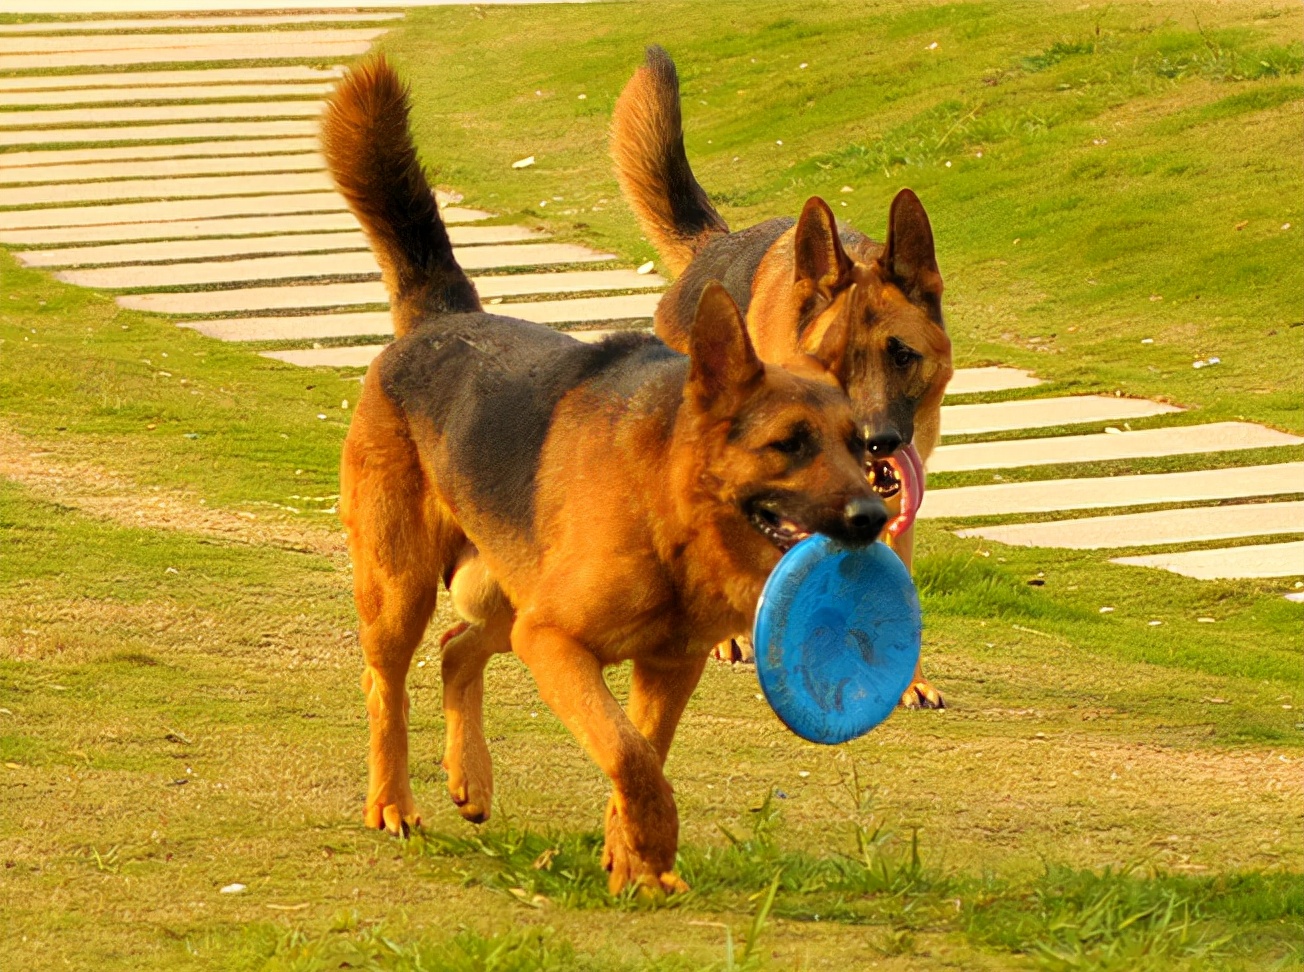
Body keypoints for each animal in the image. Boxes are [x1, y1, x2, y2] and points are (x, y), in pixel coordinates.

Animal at [319, 56, 886, 892]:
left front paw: (635, 862)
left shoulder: (666, 667)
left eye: (857, 446)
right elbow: (629, 754)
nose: (873, 520)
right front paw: (649, 843)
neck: (664, 507)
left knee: (457, 649)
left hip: (505, 594)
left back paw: (470, 777)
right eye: (790, 444)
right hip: (405, 589)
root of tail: (442, 318)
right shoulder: (556, 641)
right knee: (385, 685)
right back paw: (392, 803)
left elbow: (642, 753)